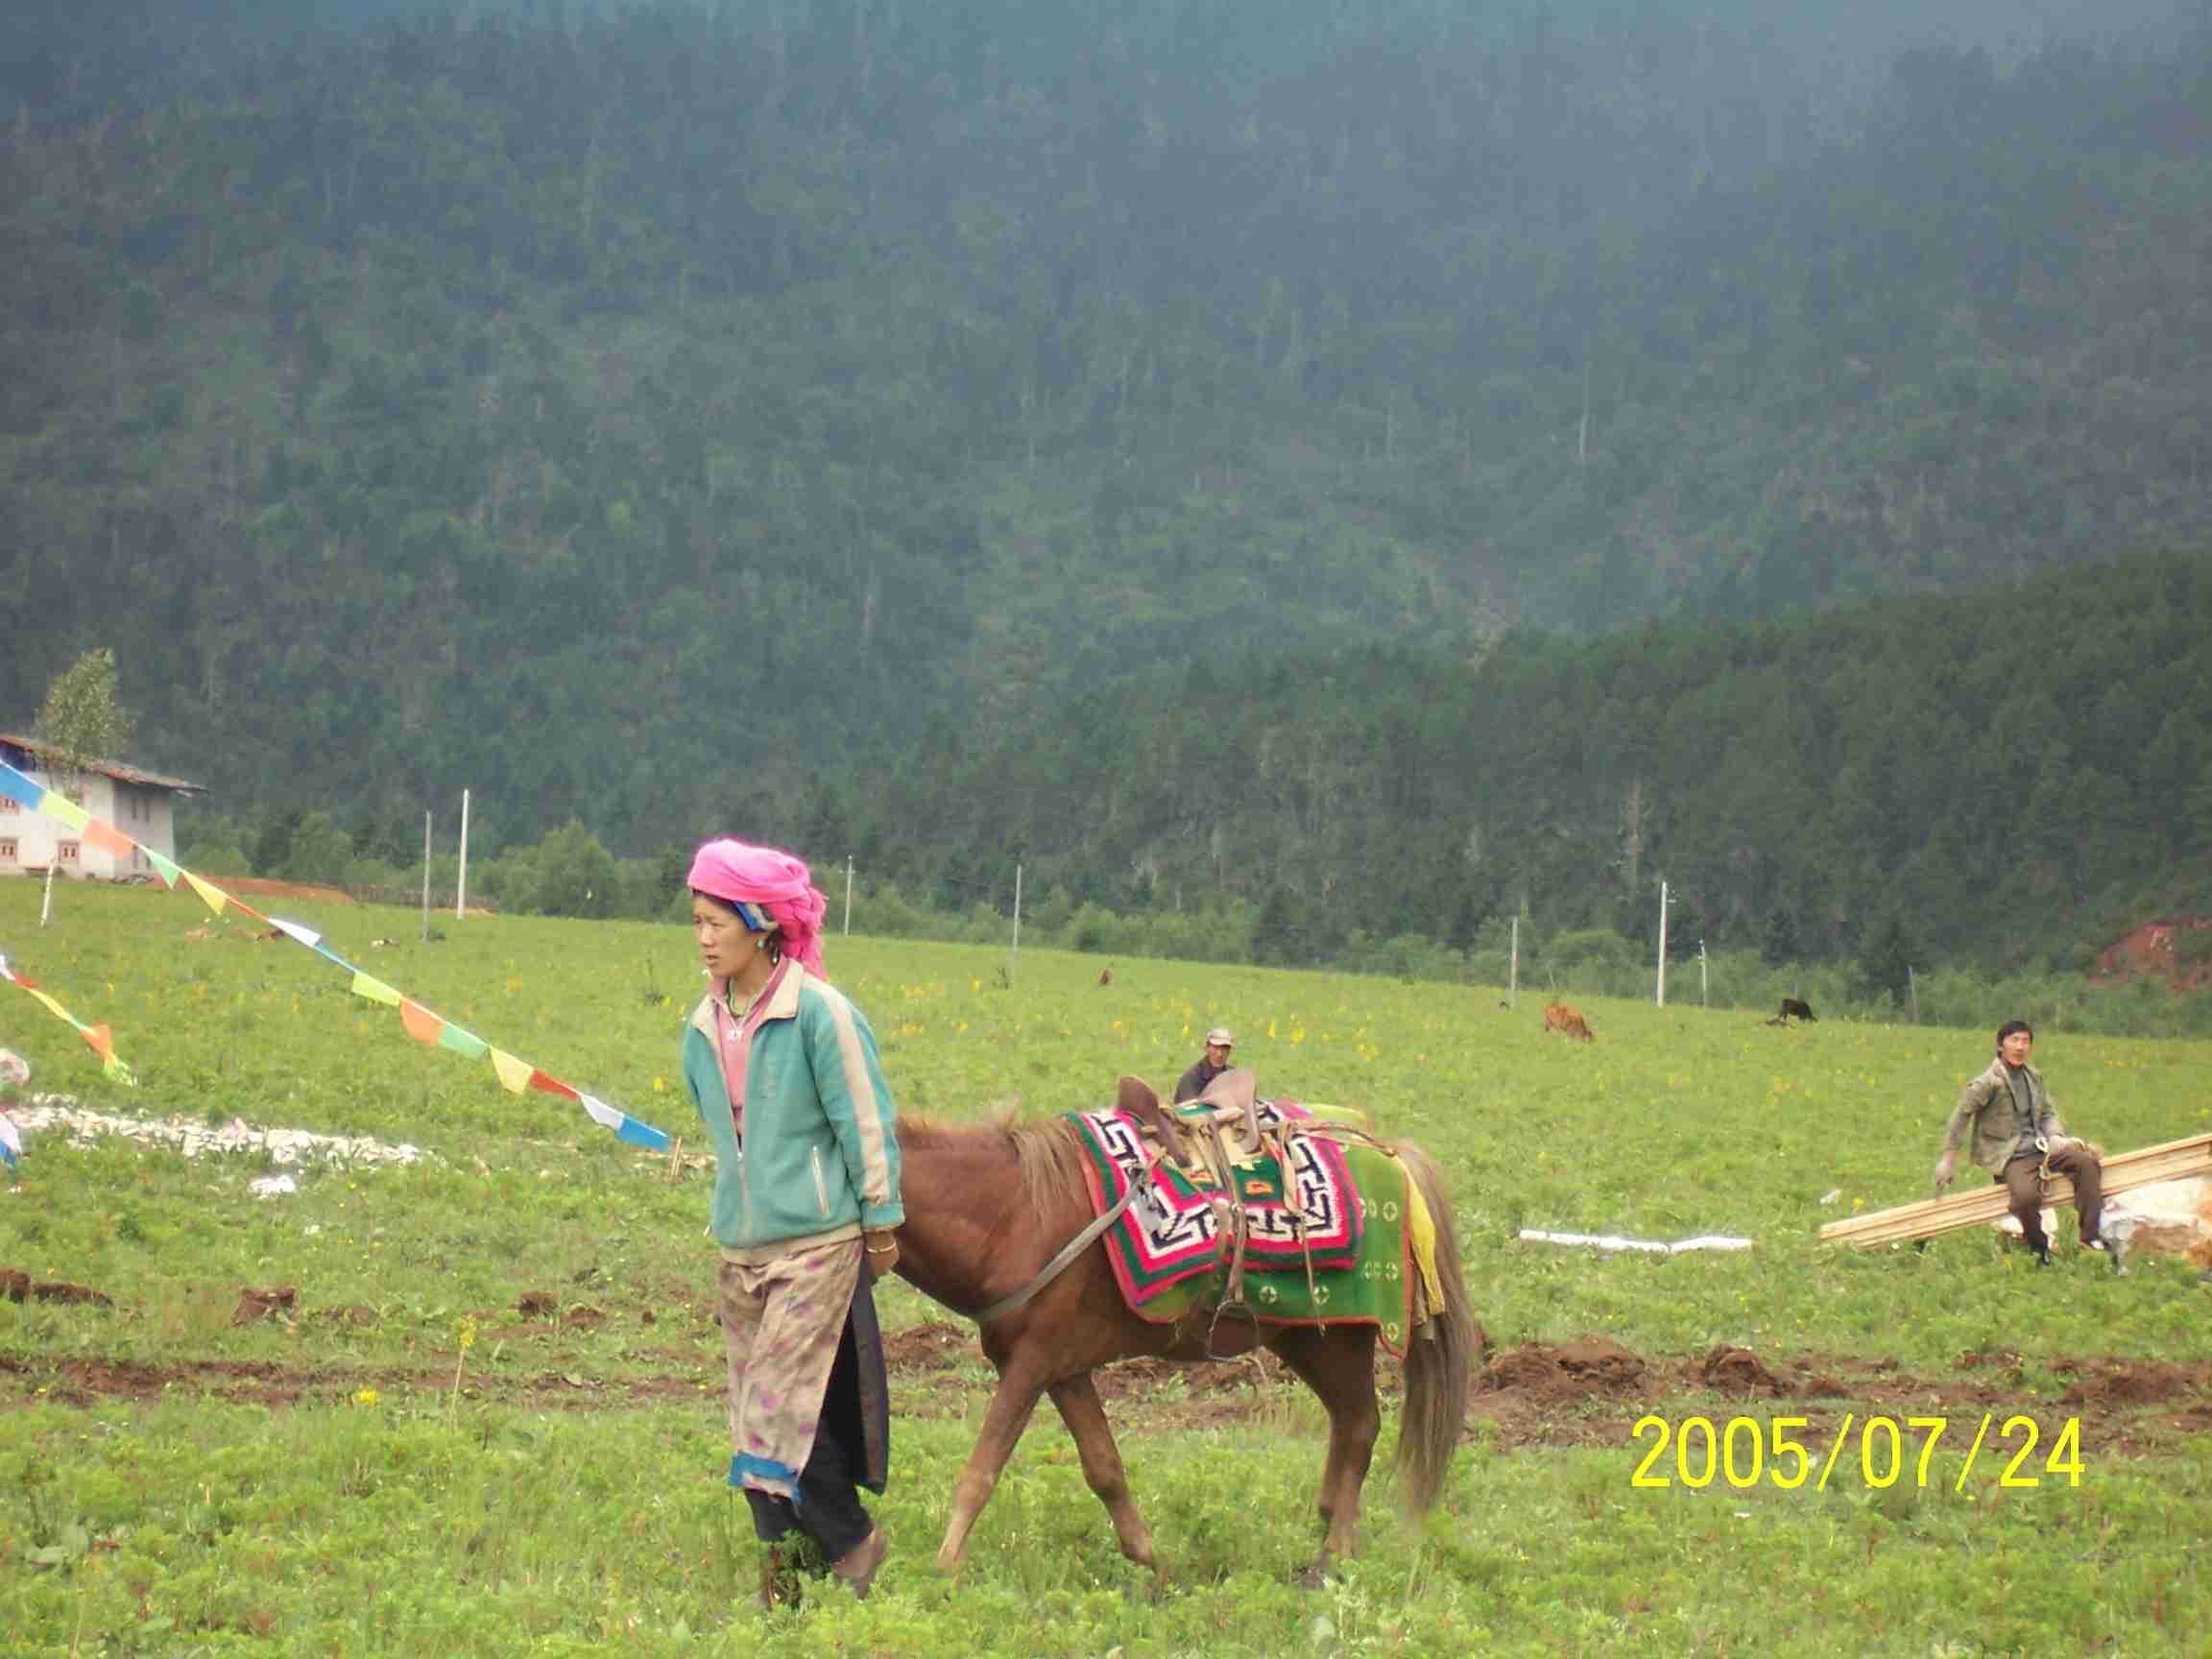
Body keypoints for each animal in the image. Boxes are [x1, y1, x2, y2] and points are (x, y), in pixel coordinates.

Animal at [889, 1083, 1478, 1592]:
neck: (1015, 1216)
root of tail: (1393, 1155)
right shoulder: (1062, 1366)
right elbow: (1104, 1467)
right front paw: (1151, 1563)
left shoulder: (1031, 1362)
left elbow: (983, 1468)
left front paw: (943, 1569)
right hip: (1305, 1340)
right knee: (1348, 1422)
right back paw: (1331, 1530)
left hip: (1340, 1338)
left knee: (1360, 1427)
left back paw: (1332, 1557)